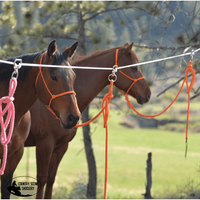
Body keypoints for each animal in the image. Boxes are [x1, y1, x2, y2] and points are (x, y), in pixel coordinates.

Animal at [24, 42, 150, 198]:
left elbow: (51, 178)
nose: (148, 93)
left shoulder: (61, 146)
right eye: (134, 67)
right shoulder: (44, 145)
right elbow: (41, 179)